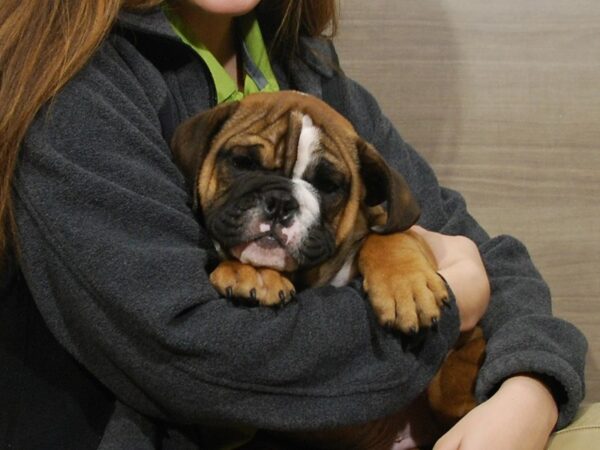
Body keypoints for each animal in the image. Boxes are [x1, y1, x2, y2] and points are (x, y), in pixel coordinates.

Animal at [171, 89, 448, 332]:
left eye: (327, 186)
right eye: (243, 163)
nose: (280, 202)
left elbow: (391, 236)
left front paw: (405, 284)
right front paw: (252, 272)